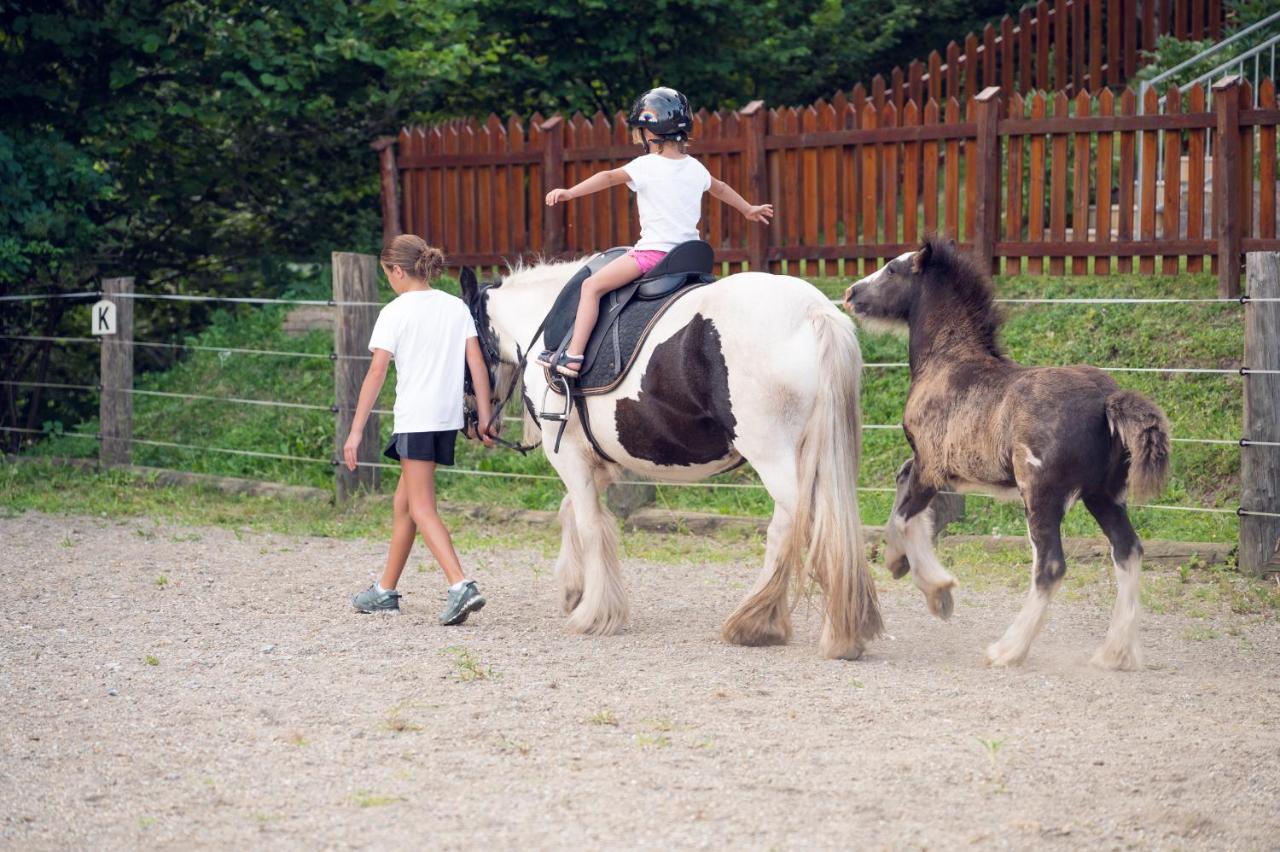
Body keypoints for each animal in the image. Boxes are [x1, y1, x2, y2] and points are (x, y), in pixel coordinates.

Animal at [465, 262, 885, 660]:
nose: (476, 425)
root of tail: (813, 311)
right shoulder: (601, 460)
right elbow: (571, 511)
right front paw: (573, 589)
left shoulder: (569, 454)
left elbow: (589, 524)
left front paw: (594, 613)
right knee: (803, 526)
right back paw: (766, 622)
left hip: (774, 458)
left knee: (807, 528)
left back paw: (821, 632)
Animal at [844, 239, 1172, 670]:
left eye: (893, 270)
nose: (851, 293)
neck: (947, 362)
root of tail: (1108, 399)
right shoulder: (935, 467)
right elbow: (902, 490)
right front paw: (898, 562)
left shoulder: (931, 466)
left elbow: (904, 518)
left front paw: (938, 591)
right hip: (1103, 494)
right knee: (1128, 550)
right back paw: (1114, 653)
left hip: (1041, 494)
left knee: (1050, 565)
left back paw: (1007, 650)